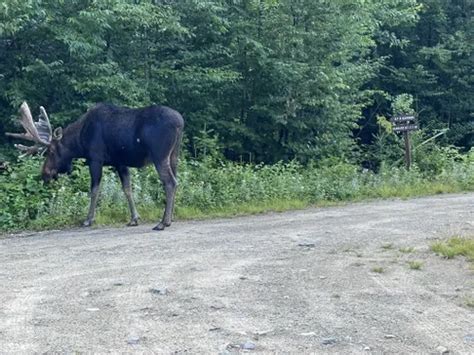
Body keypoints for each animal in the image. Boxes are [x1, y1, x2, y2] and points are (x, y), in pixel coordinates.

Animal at [7, 102, 185, 231]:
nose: (45, 173)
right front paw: (134, 219)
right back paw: (170, 218)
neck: (79, 142)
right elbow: (127, 189)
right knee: (175, 181)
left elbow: (94, 190)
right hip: (174, 155)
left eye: (50, 151)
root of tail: (180, 123)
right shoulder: (119, 162)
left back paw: (162, 223)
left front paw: (88, 220)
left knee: (170, 182)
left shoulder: (95, 158)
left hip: (159, 155)